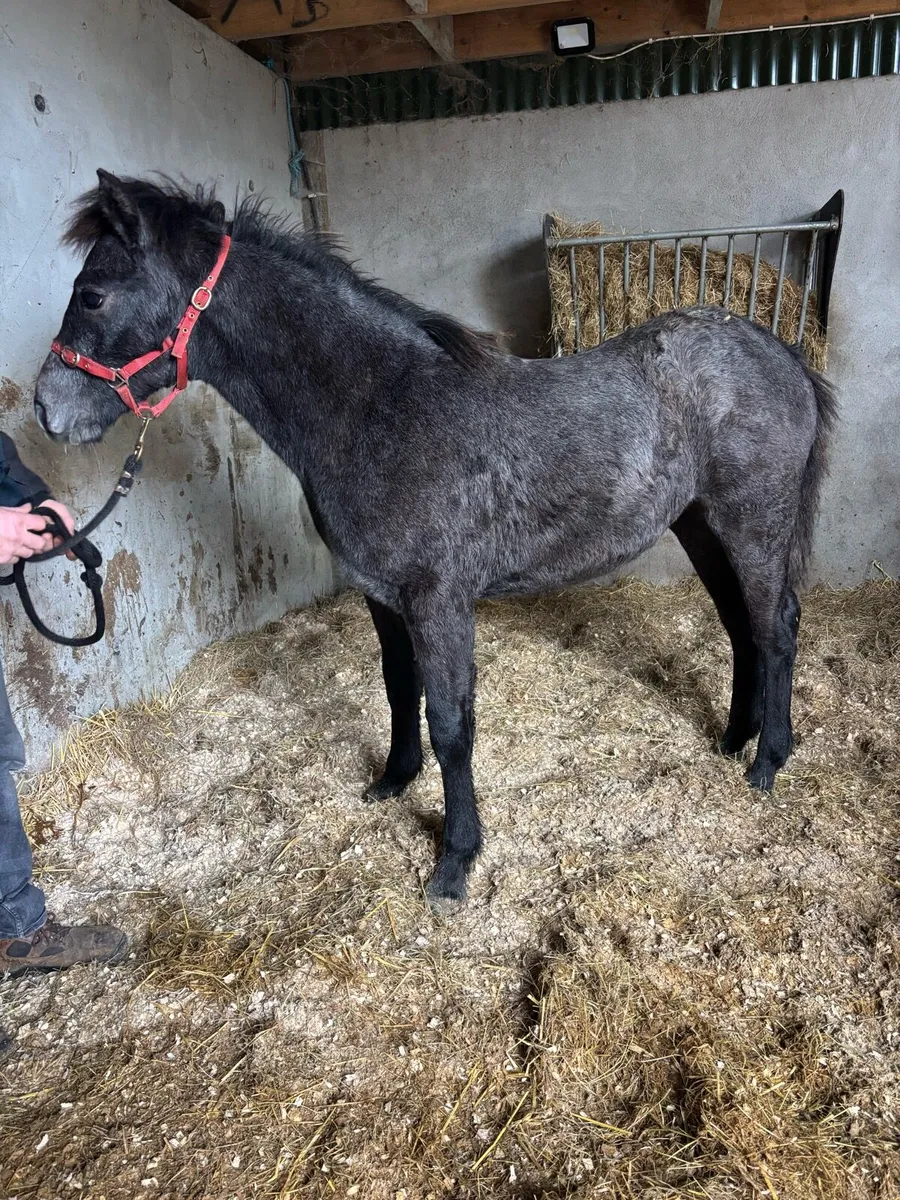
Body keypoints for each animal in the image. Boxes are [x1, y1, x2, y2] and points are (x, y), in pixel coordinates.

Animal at [34, 171, 837, 902]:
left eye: (93, 294)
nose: (46, 408)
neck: (378, 406)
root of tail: (783, 354)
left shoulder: (438, 599)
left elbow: (451, 722)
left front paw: (455, 860)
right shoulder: (385, 595)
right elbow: (399, 688)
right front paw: (393, 780)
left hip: (753, 522)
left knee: (777, 627)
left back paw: (769, 761)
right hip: (701, 525)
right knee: (742, 626)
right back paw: (732, 741)